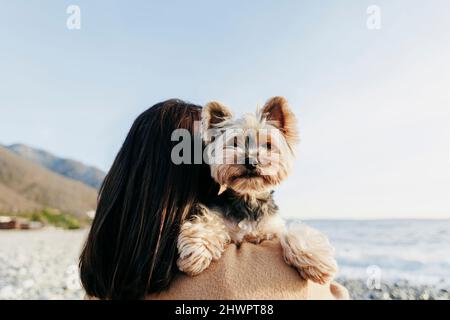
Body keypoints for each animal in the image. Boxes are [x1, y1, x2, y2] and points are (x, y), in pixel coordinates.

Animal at [176, 97, 338, 282]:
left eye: (268, 145)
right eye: (234, 143)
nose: (251, 161)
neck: (249, 198)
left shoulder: (271, 228)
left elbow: (289, 233)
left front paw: (315, 257)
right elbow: (210, 224)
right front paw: (198, 251)